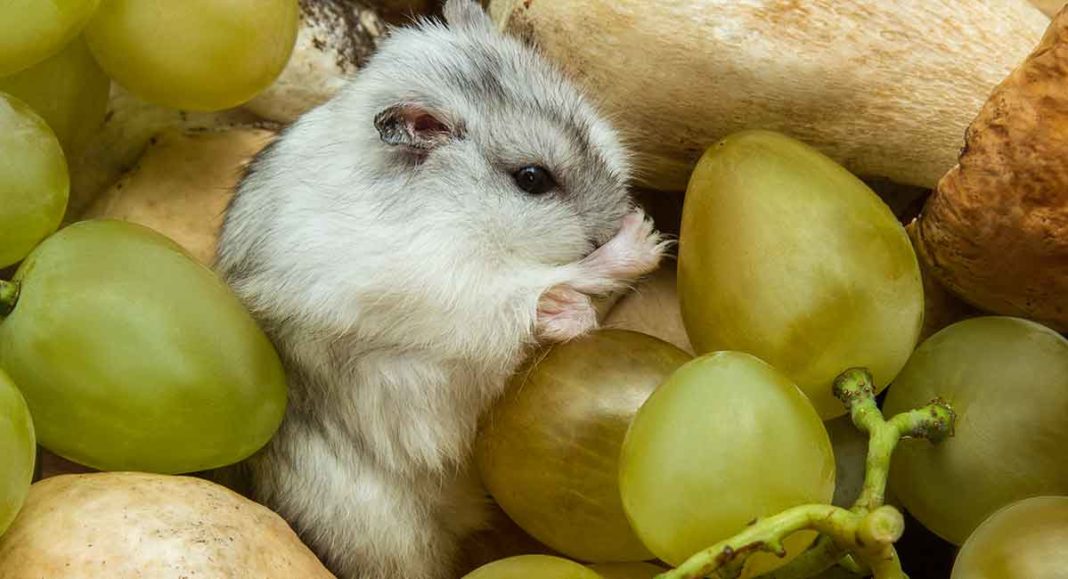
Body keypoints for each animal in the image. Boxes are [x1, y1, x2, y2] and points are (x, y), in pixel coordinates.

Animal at [214, 1, 666, 577]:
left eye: (592, 134)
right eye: (532, 179)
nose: (614, 224)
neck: (451, 207)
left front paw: (641, 231)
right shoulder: (430, 286)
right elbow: (534, 286)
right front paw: (639, 243)